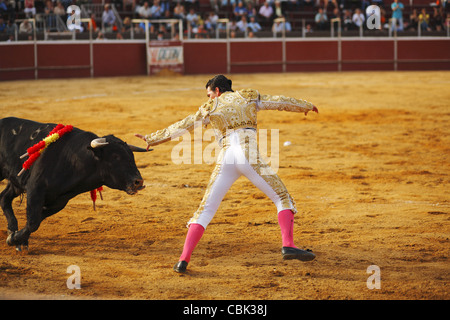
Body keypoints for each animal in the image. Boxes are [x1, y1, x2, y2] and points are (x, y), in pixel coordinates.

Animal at [0, 116, 149, 251]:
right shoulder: (35, 189)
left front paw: (17, 239)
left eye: (132, 156)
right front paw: (14, 239)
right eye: (115, 157)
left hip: (16, 183)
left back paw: (11, 229)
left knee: (4, 197)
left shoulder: (60, 201)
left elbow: (38, 219)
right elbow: (33, 222)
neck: (72, 160)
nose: (138, 181)